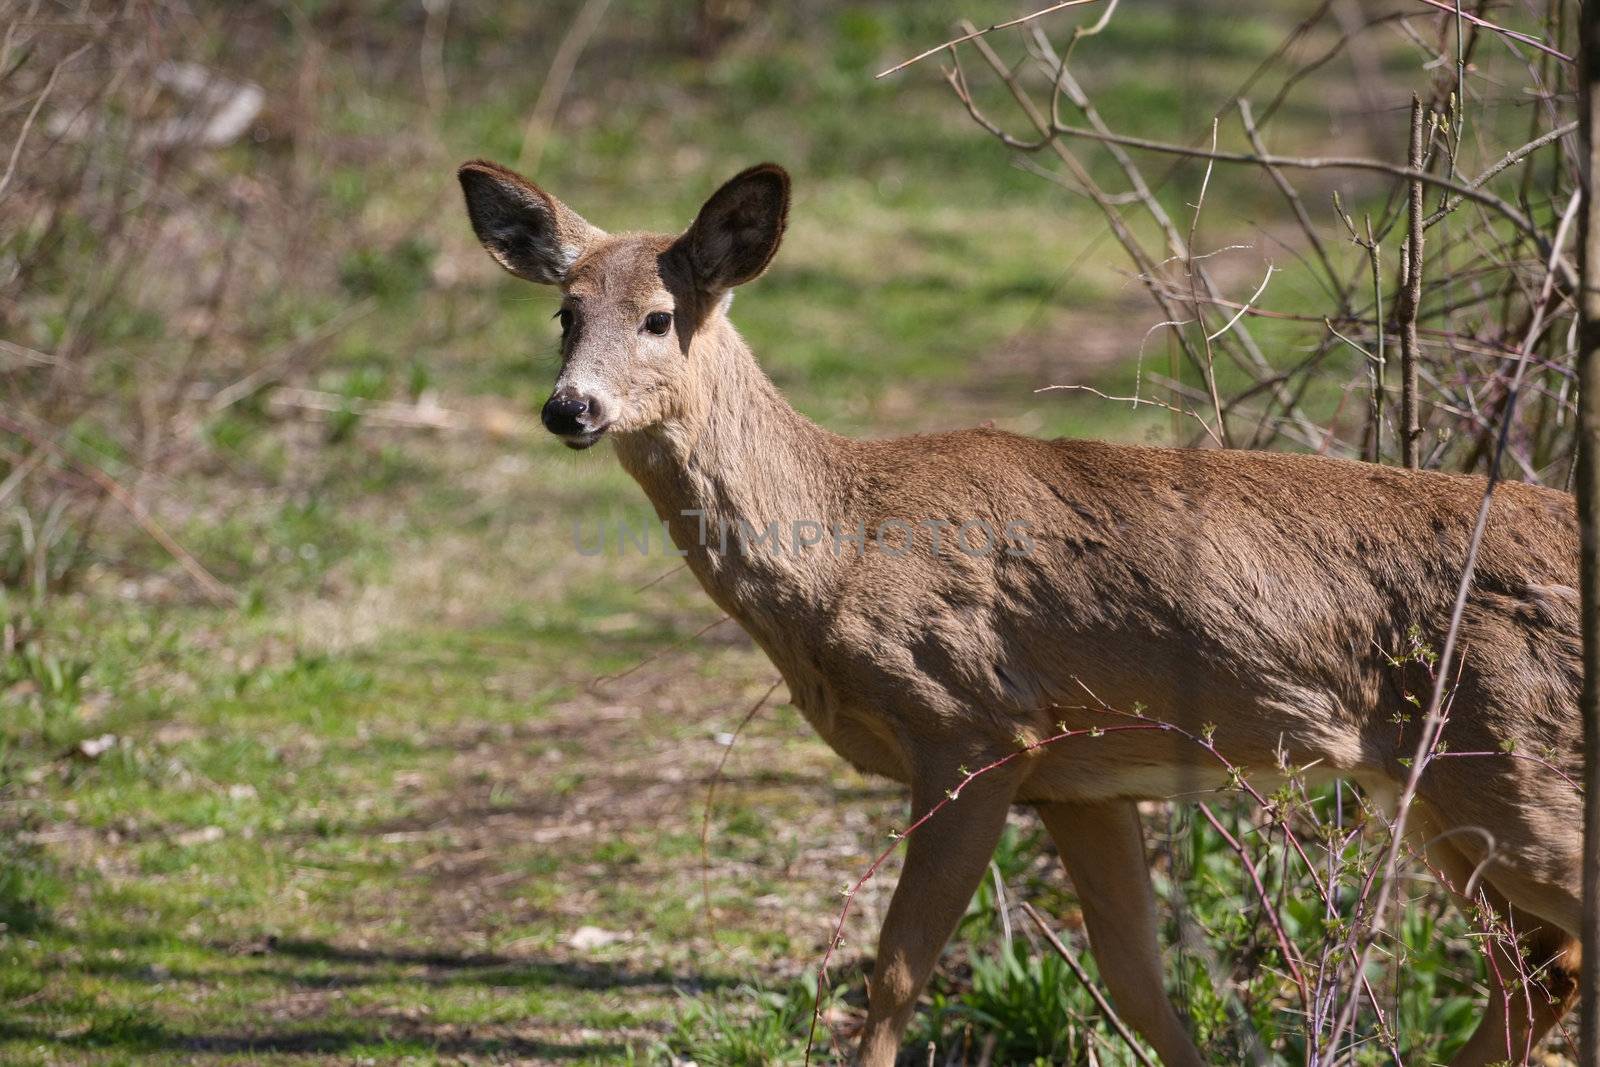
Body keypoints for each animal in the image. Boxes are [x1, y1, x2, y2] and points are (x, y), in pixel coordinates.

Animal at [460, 158, 1587, 1067]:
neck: (841, 542)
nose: (569, 407)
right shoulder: (1083, 776)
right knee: (1541, 967)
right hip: (1439, 782)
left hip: (1513, 759)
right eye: (564, 314)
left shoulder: (970, 727)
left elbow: (893, 978)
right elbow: (1140, 989)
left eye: (659, 315)